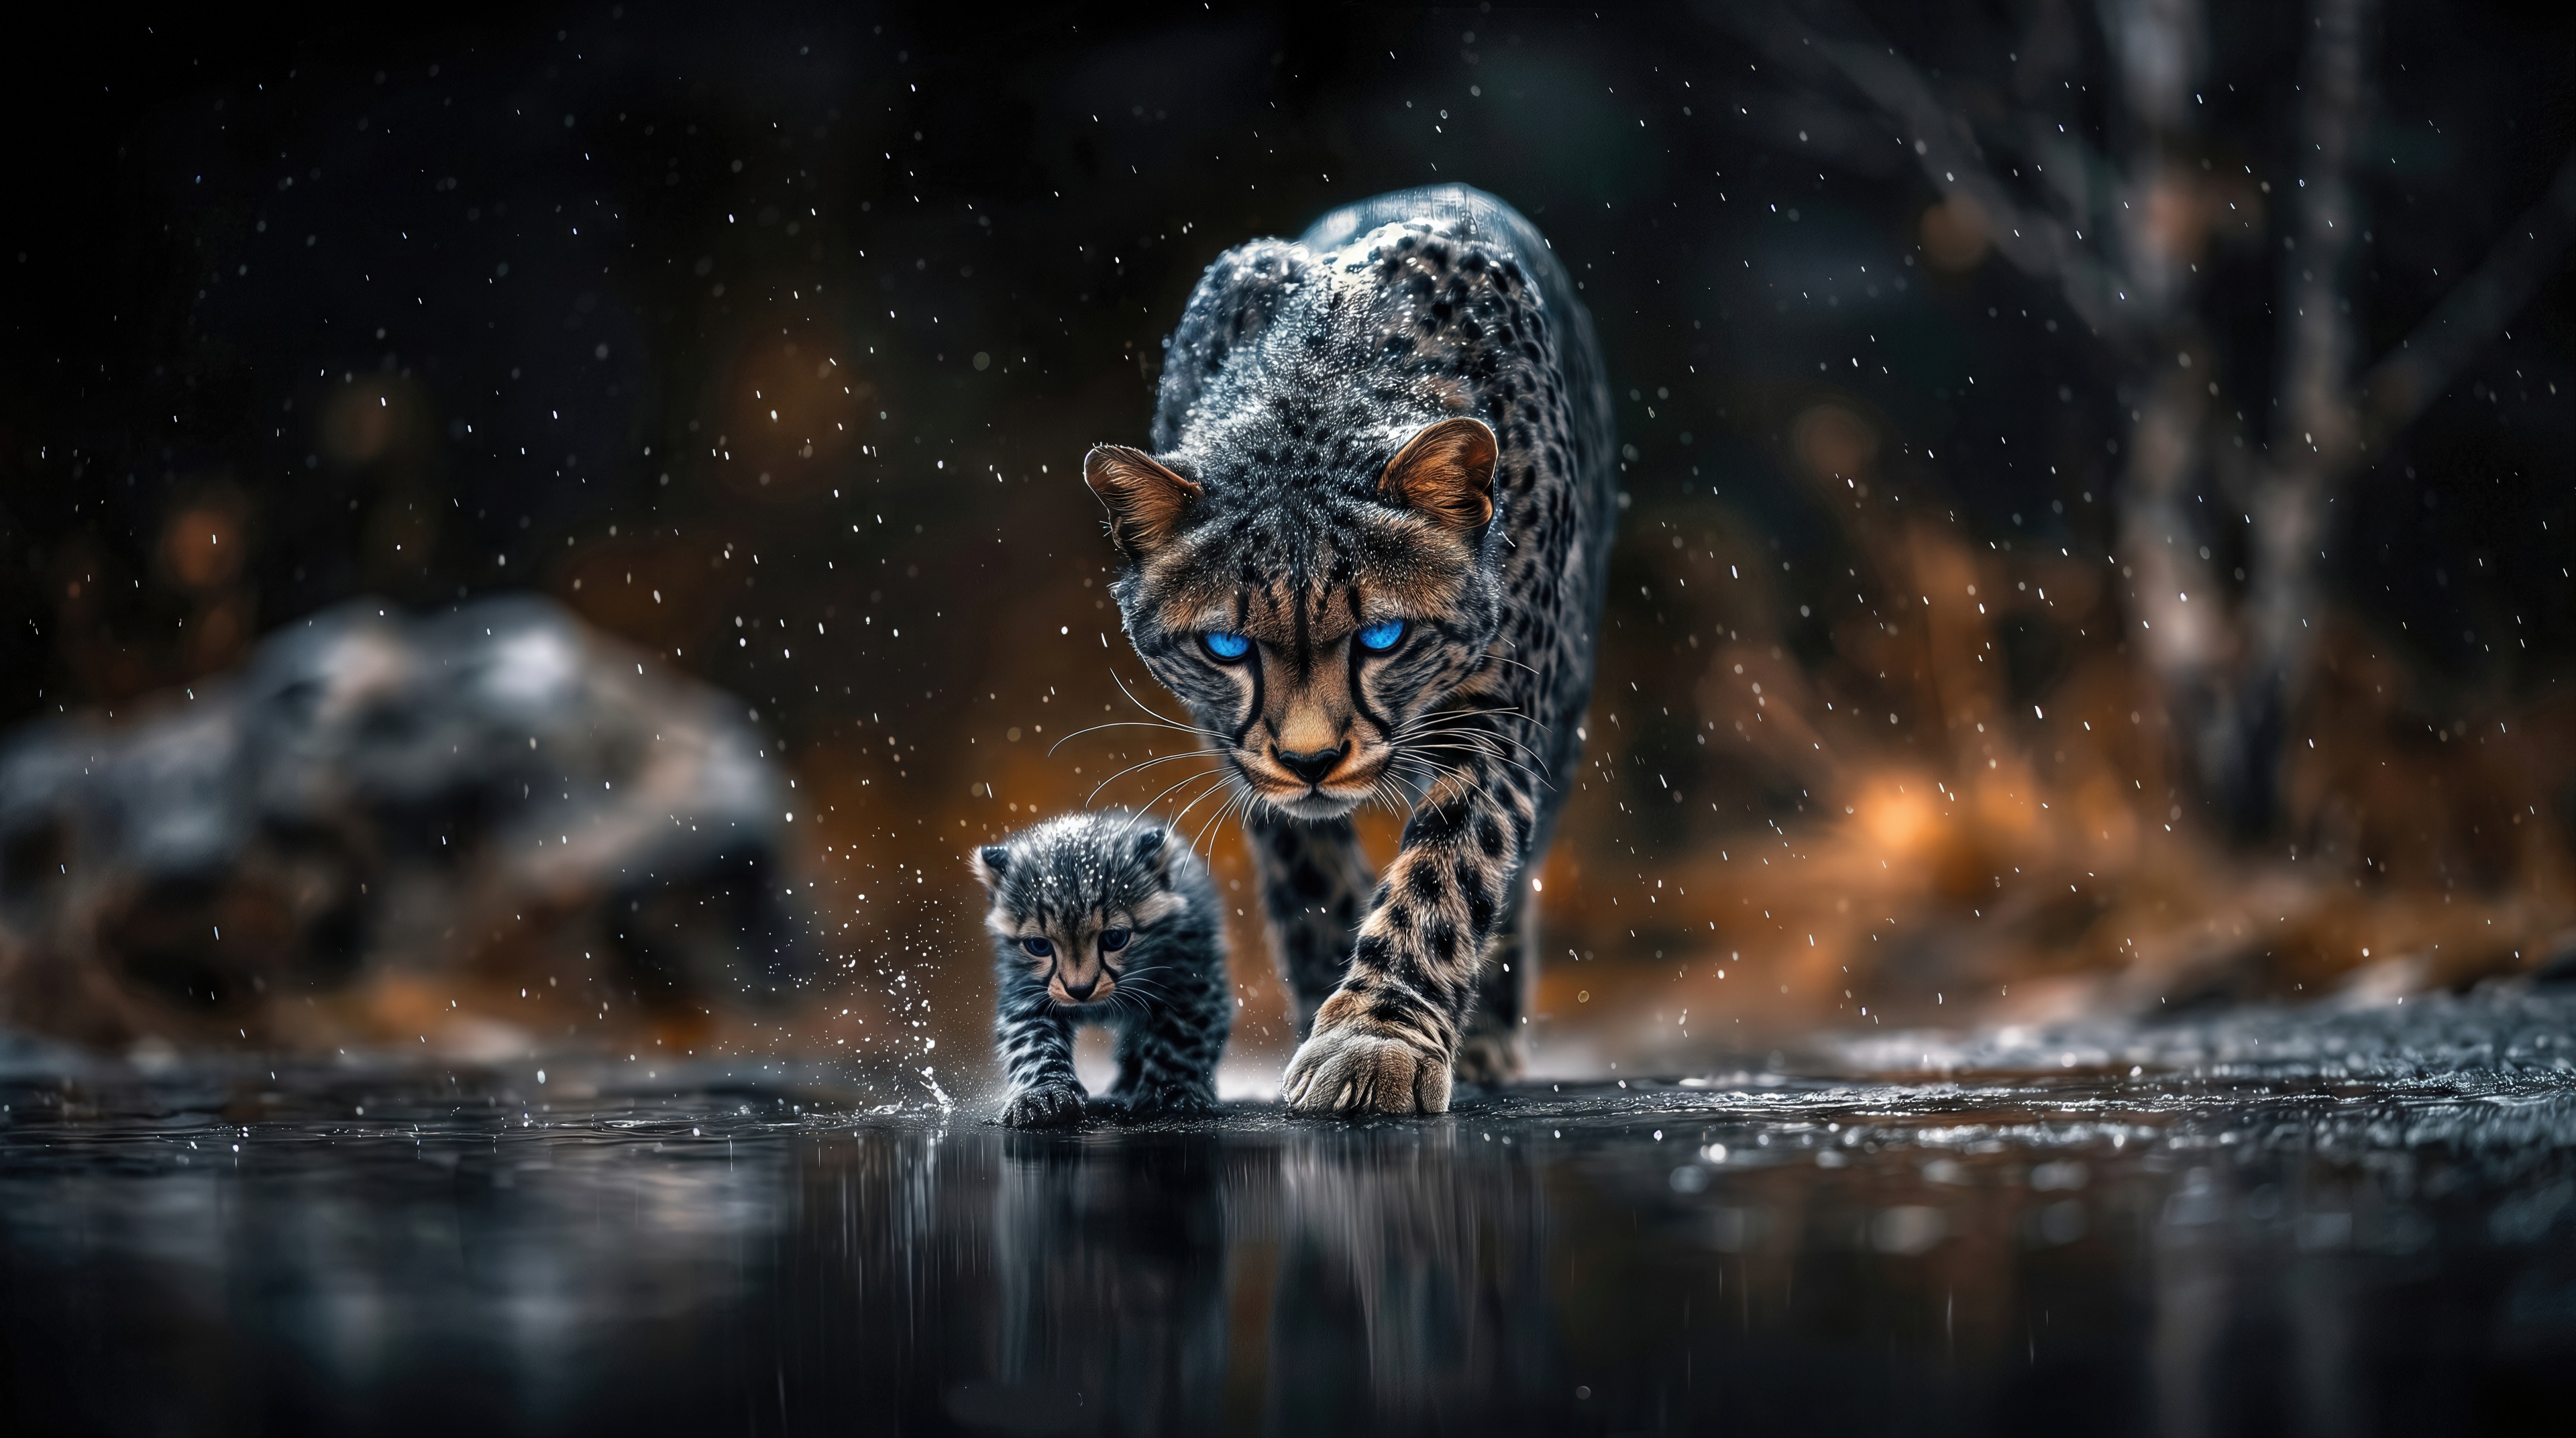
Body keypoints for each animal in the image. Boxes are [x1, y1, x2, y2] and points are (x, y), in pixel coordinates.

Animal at [971, 810, 1230, 1127]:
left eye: (1114, 938)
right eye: (1039, 946)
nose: (1080, 990)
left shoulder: (1190, 983)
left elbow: (1180, 1040)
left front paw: (1169, 1093)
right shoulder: (1027, 993)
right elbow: (1033, 1043)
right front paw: (1042, 1094)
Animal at [1080, 184, 1616, 1116]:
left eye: (1382, 636)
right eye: (1226, 644)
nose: (1312, 761)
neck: (1319, 377)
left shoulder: (1501, 712)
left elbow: (1446, 870)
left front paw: (1378, 1037)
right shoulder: (1243, 759)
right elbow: (1311, 878)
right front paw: (1330, 1018)